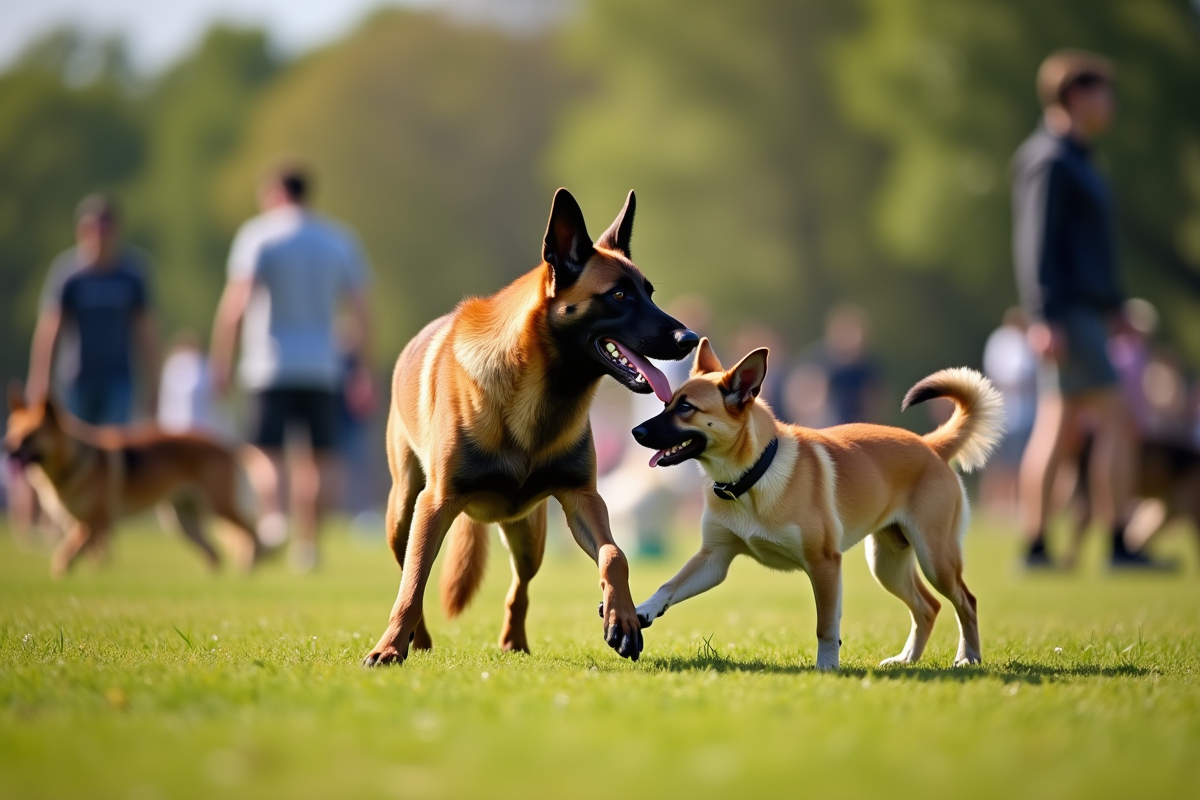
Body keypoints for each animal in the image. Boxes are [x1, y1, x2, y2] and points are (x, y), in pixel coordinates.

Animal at [6, 383, 260, 575]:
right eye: (11, 433)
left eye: (30, 436)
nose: (7, 449)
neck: (74, 460)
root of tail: (226, 446)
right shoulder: (77, 522)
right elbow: (81, 550)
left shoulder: (97, 520)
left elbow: (69, 551)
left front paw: (62, 572)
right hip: (182, 519)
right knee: (214, 553)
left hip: (220, 506)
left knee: (249, 530)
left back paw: (251, 561)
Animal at [362, 190, 700, 666]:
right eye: (618, 295)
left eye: (649, 294)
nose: (690, 339)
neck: (539, 393)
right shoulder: (435, 504)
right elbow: (412, 586)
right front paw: (390, 647)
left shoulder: (583, 498)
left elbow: (615, 554)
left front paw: (622, 618)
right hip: (401, 515)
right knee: (408, 570)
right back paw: (418, 639)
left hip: (528, 534)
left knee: (519, 587)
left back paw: (515, 641)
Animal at [628, 340, 1003, 671]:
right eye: (666, 403)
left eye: (686, 407)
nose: (636, 432)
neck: (752, 477)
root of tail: (931, 446)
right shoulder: (713, 559)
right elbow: (669, 585)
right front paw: (642, 610)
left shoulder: (824, 564)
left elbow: (826, 626)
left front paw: (826, 666)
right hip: (887, 563)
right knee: (929, 606)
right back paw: (907, 659)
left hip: (935, 557)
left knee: (965, 601)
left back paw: (968, 657)